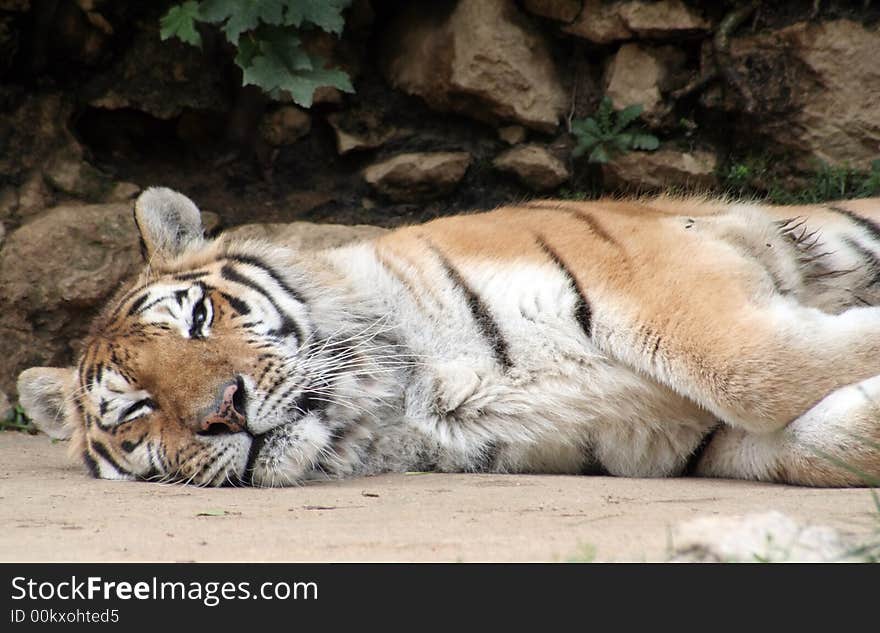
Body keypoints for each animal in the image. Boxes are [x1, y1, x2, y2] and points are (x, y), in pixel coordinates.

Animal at [15, 185, 880, 486]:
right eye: (137, 408)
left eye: (198, 317)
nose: (224, 408)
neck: (404, 401)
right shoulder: (671, 440)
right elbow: (817, 436)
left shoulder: (653, 265)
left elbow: (750, 366)